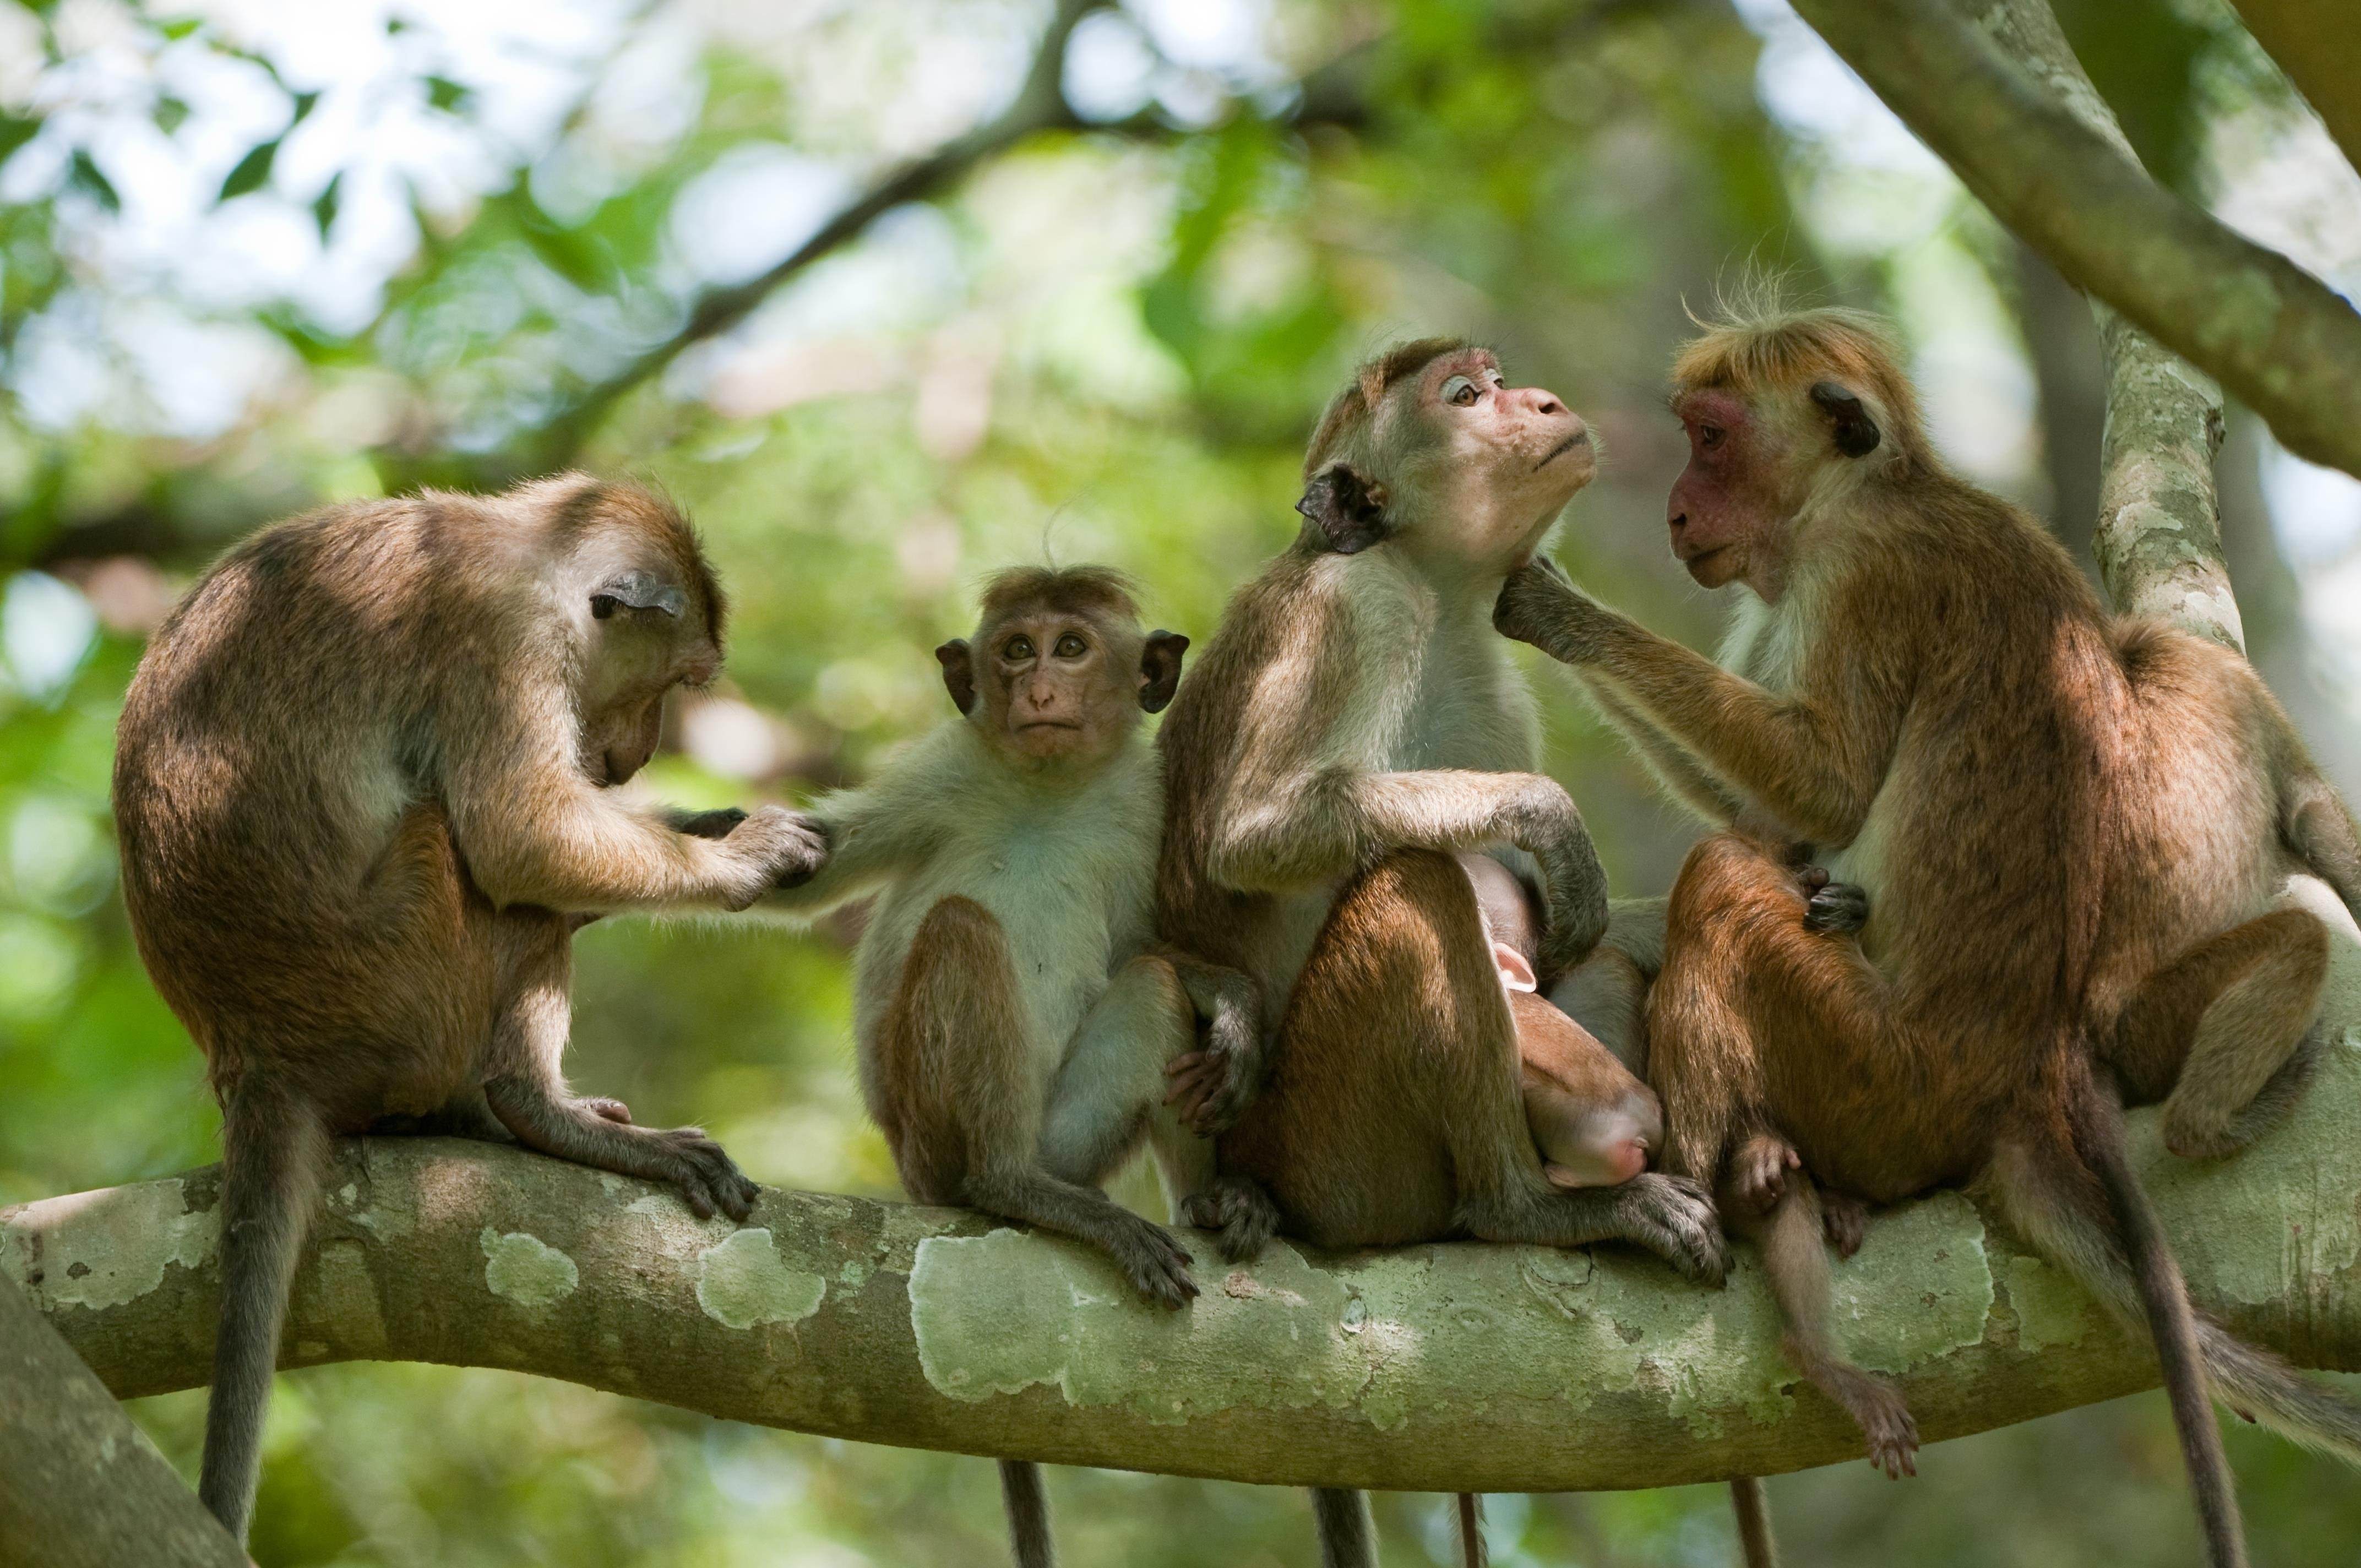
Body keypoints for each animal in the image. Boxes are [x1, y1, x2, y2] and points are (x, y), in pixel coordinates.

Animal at [115, 472, 840, 1539]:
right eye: (675, 681)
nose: (634, 759)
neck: (525, 550)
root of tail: (255, 1056)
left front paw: (704, 821)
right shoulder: (498, 649)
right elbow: (520, 835)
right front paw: (737, 855)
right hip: (401, 982)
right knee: (472, 852)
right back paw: (532, 1110)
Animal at [769, 564, 1256, 1567]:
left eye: (1071, 647)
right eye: (1015, 649)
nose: (1037, 691)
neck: (1050, 787)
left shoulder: (1149, 804)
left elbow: (1152, 946)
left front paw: (1231, 1003)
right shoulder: (940, 767)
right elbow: (809, 869)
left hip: (1066, 1134)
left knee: (1151, 989)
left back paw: (1202, 1202)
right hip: (930, 1127)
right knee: (962, 927)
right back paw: (1007, 1186)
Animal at [1152, 340, 1728, 1567]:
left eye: (1501, 381)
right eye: (1465, 398)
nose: (1542, 402)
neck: (1431, 589)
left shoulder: (1487, 670)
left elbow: (1558, 929)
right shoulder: (1346, 612)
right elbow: (1255, 834)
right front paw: (1549, 816)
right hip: (1333, 1156)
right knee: (1414, 888)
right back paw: (1525, 1209)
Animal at [1492, 300, 2361, 1558]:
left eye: (1711, 438)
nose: (1676, 510)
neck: (1862, 492)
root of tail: (2019, 1076)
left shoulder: (1860, 573)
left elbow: (1820, 788)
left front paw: (1554, 612)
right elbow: (1779, 821)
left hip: (1884, 1073)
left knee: (1726, 883)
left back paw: (1735, 1186)